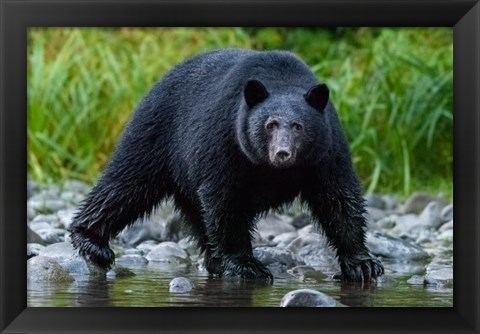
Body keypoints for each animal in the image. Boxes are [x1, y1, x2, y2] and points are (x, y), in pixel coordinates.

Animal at [69, 47, 384, 282]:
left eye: (298, 126)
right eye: (270, 124)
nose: (282, 153)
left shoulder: (326, 150)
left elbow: (338, 199)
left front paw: (363, 264)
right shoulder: (226, 140)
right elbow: (225, 199)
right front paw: (245, 264)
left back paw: (213, 259)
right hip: (157, 132)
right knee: (126, 182)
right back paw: (91, 241)